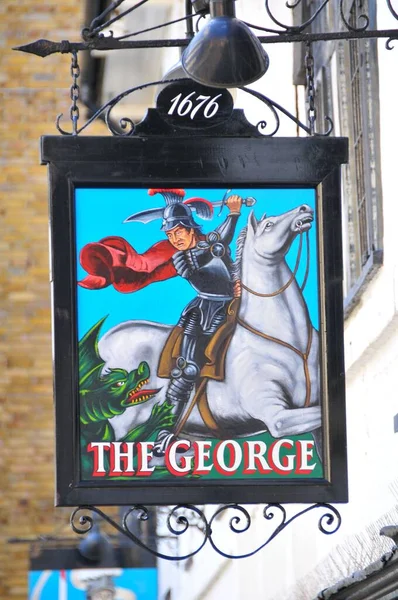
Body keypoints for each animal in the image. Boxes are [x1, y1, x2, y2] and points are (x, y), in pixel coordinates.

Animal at [98, 206, 322, 454]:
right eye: (268, 225)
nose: (304, 209)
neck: (293, 344)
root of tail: (106, 343)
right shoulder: (276, 417)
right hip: (120, 426)